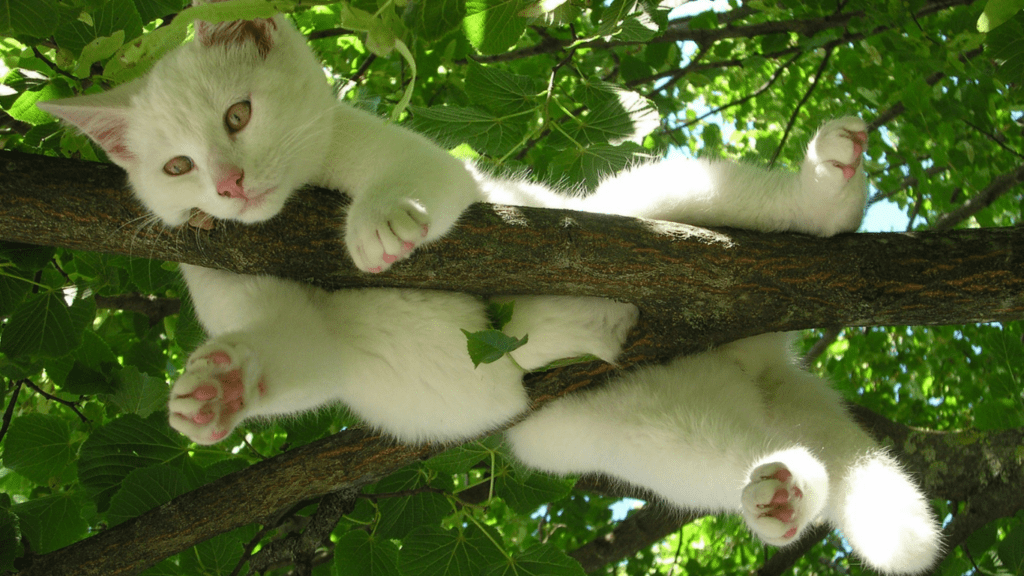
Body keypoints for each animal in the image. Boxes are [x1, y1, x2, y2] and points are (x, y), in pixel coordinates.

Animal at [39, 6, 937, 569]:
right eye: (175, 167)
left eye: (237, 116)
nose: (226, 187)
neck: (292, 209)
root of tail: (767, 358)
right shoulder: (273, 311)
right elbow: (293, 354)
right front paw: (219, 388)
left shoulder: (440, 173)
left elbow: (417, 181)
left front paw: (380, 221)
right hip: (613, 427)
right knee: (755, 464)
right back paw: (783, 494)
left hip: (653, 207)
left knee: (770, 210)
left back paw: (828, 187)